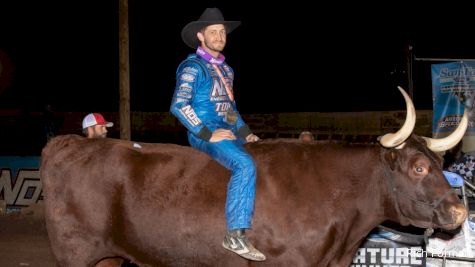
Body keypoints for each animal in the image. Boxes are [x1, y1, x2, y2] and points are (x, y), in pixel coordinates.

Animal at [42, 89, 470, 266]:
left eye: (439, 160)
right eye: (418, 167)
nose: (459, 211)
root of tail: (67, 142)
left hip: (109, 257)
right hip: (75, 253)